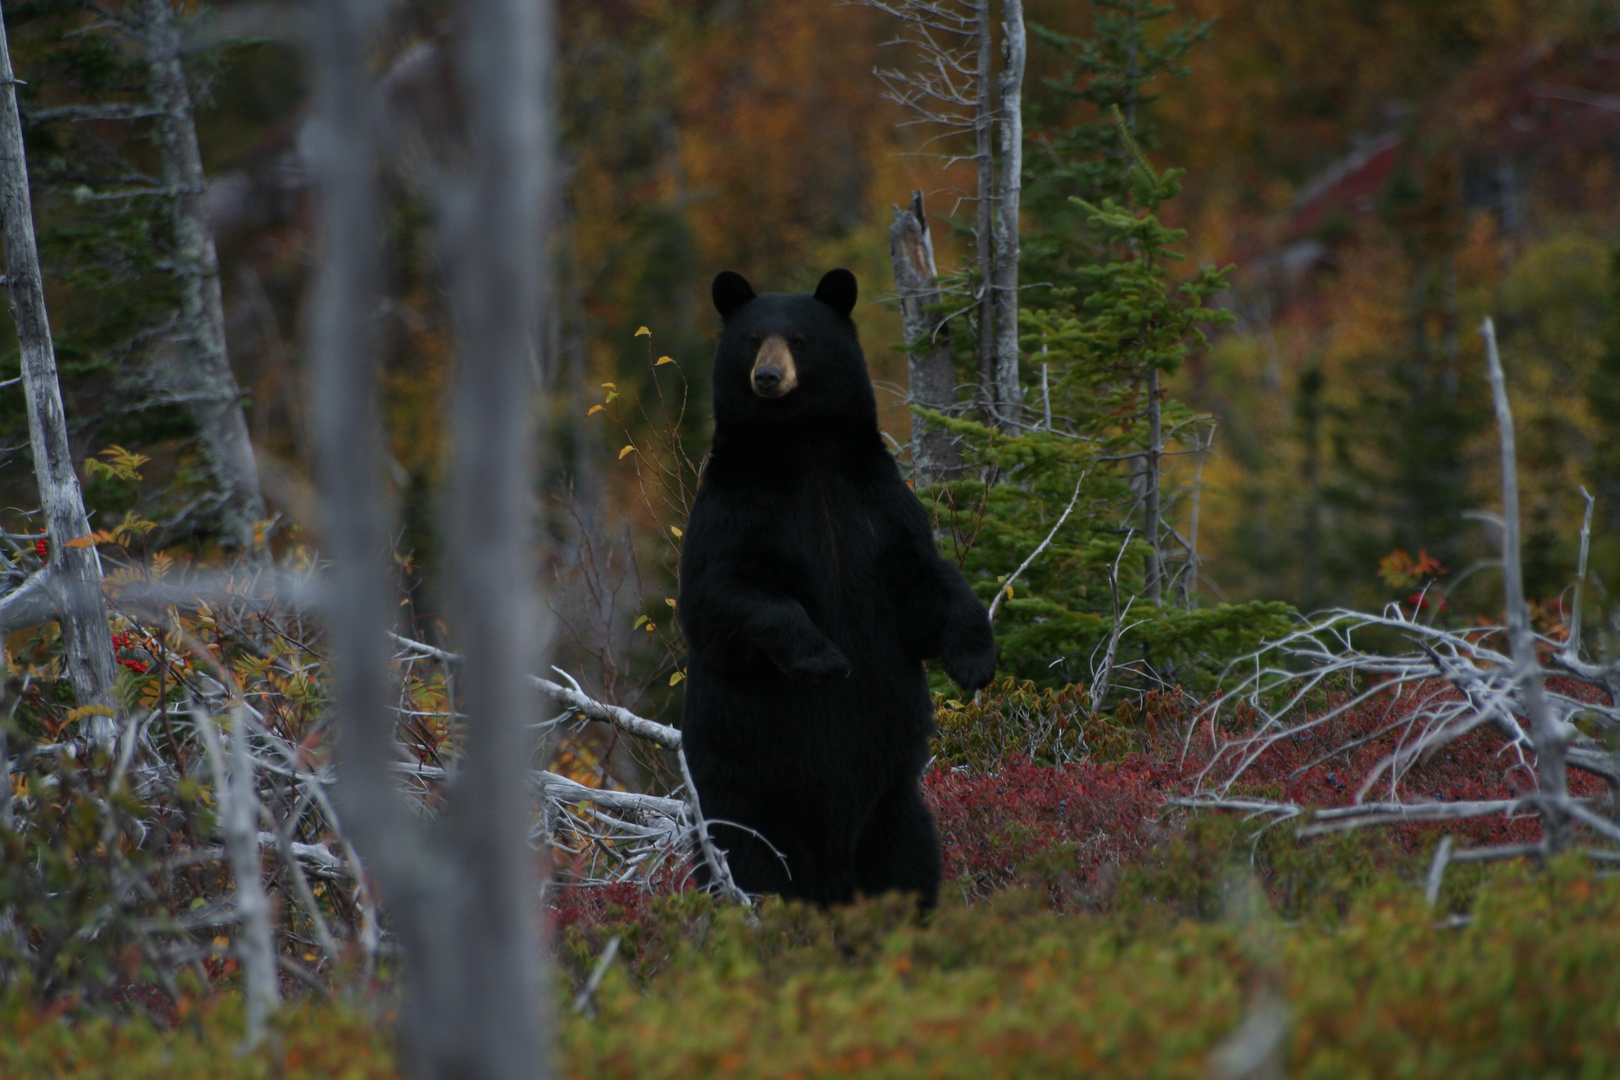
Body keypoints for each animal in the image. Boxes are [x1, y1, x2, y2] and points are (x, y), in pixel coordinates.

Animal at [673, 265, 997, 906]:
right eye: (753, 340)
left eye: (800, 339)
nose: (768, 376)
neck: (804, 451)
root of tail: (832, 872)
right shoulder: (732, 510)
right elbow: (720, 596)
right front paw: (824, 657)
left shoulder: (877, 502)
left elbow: (926, 581)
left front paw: (975, 661)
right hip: (741, 794)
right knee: (750, 865)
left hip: (893, 802)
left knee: (909, 858)